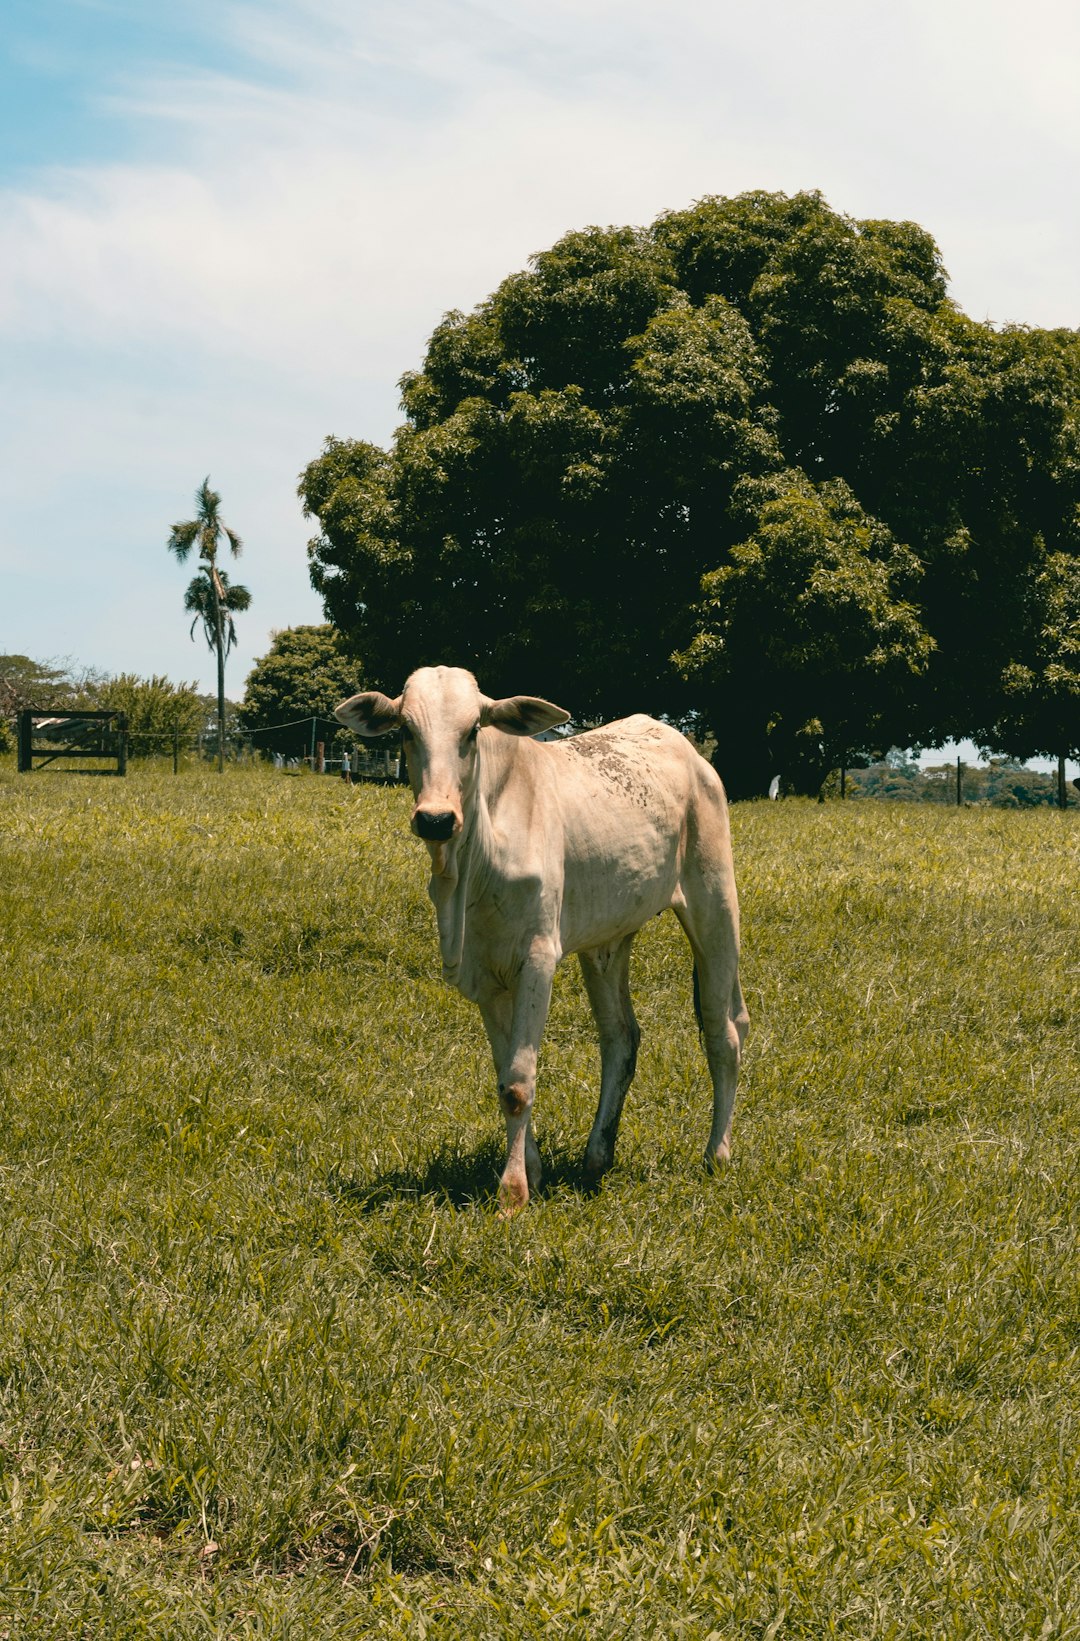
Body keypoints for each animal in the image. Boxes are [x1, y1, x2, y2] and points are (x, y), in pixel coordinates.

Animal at [334, 659, 741, 1214]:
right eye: (405, 732)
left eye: (473, 731)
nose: (436, 819)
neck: (470, 869)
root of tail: (690, 752)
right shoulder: (484, 974)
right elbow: (504, 1073)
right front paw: (533, 1170)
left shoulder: (537, 958)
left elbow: (520, 1082)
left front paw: (512, 1194)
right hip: (606, 940)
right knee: (621, 1037)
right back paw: (598, 1157)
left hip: (715, 903)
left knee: (724, 1033)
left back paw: (716, 1154)